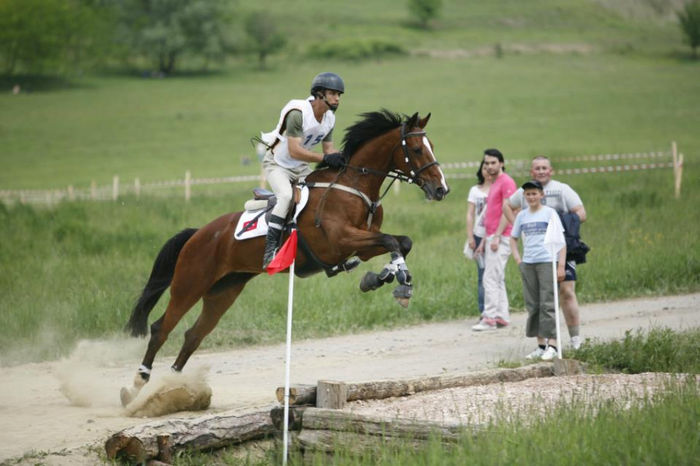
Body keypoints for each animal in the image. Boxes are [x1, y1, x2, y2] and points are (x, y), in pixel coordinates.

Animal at [120, 108, 448, 404]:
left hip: (224, 291)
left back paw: (174, 388)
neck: (353, 186)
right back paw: (136, 388)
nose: (441, 189)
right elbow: (393, 240)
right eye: (417, 149)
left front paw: (385, 278)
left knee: (193, 335)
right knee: (161, 329)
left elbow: (401, 242)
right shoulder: (340, 241)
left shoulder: (363, 246)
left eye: (432, 145)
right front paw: (398, 282)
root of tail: (199, 233)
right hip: (190, 283)